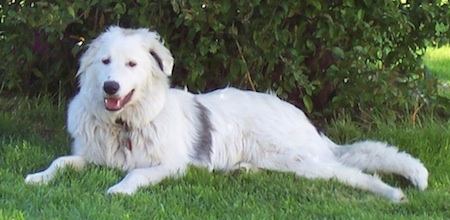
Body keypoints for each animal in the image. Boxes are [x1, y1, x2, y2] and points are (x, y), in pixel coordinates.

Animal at [25, 25, 428, 201]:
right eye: (105, 62)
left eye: (132, 64)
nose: (110, 87)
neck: (124, 125)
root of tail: (303, 119)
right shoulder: (90, 157)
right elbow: (61, 162)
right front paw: (37, 177)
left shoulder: (173, 165)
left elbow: (136, 174)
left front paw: (120, 190)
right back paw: (242, 170)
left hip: (299, 159)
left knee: (352, 174)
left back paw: (393, 194)